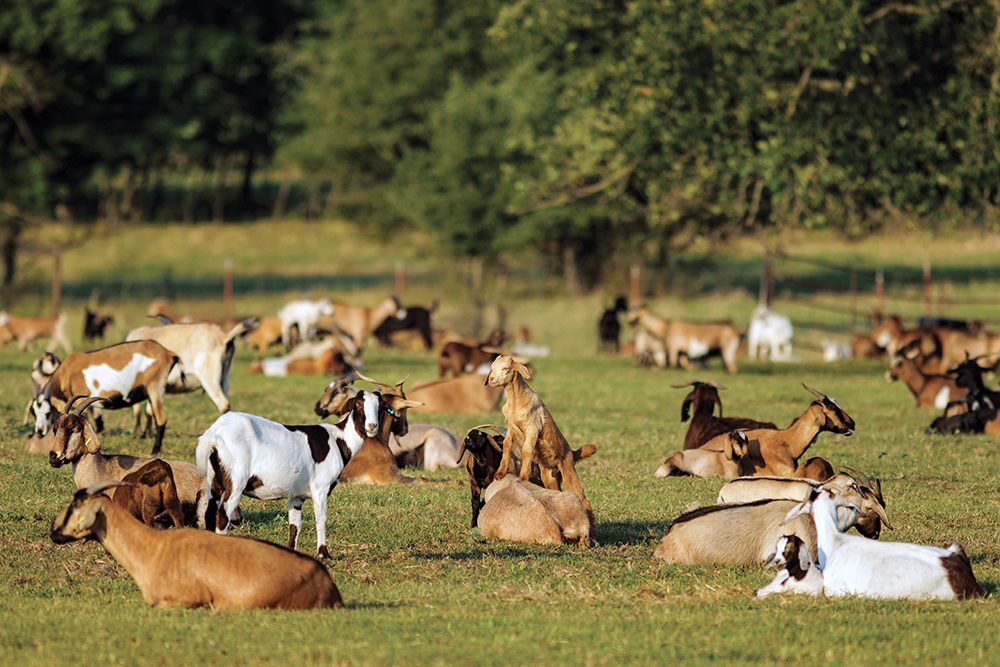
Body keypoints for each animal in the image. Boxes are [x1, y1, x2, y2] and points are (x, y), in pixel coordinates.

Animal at [30, 340, 178, 455]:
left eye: (48, 412)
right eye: (33, 412)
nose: (39, 432)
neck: (67, 370)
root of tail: (167, 353)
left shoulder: (80, 398)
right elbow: (98, 422)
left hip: (154, 387)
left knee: (161, 418)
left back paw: (155, 451)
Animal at [196, 389, 381, 558]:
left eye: (379, 406)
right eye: (358, 405)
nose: (372, 426)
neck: (338, 439)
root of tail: (213, 434)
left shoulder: (297, 495)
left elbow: (295, 525)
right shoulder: (320, 488)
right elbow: (321, 519)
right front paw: (324, 555)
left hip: (215, 479)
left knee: (210, 512)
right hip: (235, 479)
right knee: (223, 515)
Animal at [485, 355, 596, 536]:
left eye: (506, 368)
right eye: (492, 368)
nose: (491, 379)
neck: (516, 401)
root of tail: (572, 452)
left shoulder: (533, 427)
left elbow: (526, 450)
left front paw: (523, 476)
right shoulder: (511, 427)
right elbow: (507, 445)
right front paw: (500, 473)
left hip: (568, 468)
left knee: (582, 495)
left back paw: (592, 530)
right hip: (549, 476)